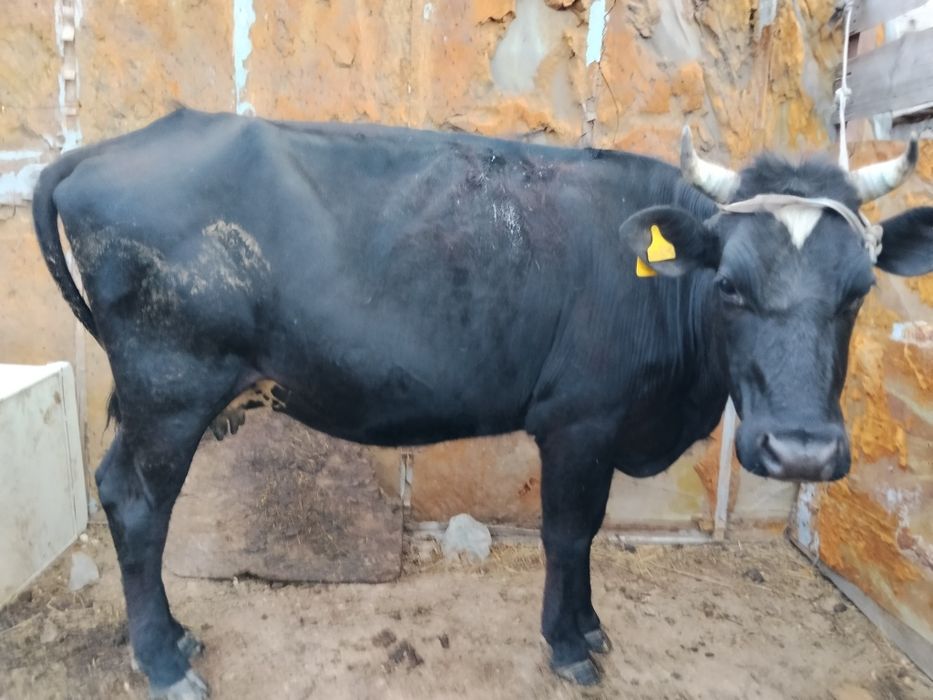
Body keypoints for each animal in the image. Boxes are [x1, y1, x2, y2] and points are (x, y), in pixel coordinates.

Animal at [33, 108, 933, 698]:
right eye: (731, 286)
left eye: (857, 291)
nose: (801, 450)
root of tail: (113, 146)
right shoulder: (578, 422)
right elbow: (568, 533)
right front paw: (568, 646)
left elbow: (587, 533)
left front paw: (589, 625)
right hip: (170, 386)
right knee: (137, 506)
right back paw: (164, 662)